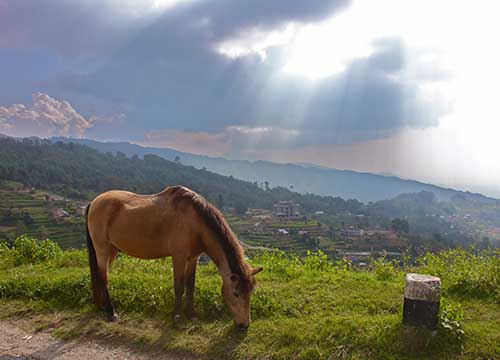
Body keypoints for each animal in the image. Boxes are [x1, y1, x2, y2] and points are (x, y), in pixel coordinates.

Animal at [85, 186, 262, 330]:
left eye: (250, 293)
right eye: (236, 293)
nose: (245, 325)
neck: (195, 222)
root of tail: (94, 202)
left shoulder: (193, 258)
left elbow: (190, 286)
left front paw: (191, 314)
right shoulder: (179, 257)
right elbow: (179, 287)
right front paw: (177, 317)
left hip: (112, 251)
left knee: (100, 276)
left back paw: (101, 307)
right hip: (102, 249)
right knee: (103, 277)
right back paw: (111, 312)